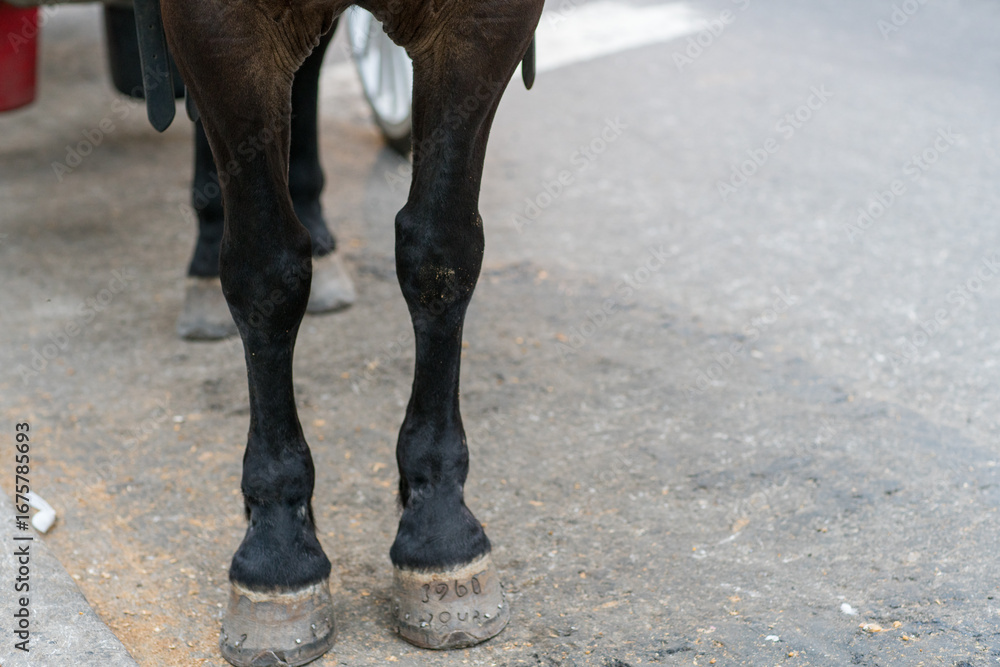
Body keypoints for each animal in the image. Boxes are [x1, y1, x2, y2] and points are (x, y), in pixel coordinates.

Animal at [133, 0, 543, 663]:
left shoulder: (486, 23)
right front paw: (277, 550)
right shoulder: (215, 28)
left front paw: (440, 530)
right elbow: (266, 271)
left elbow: (440, 248)